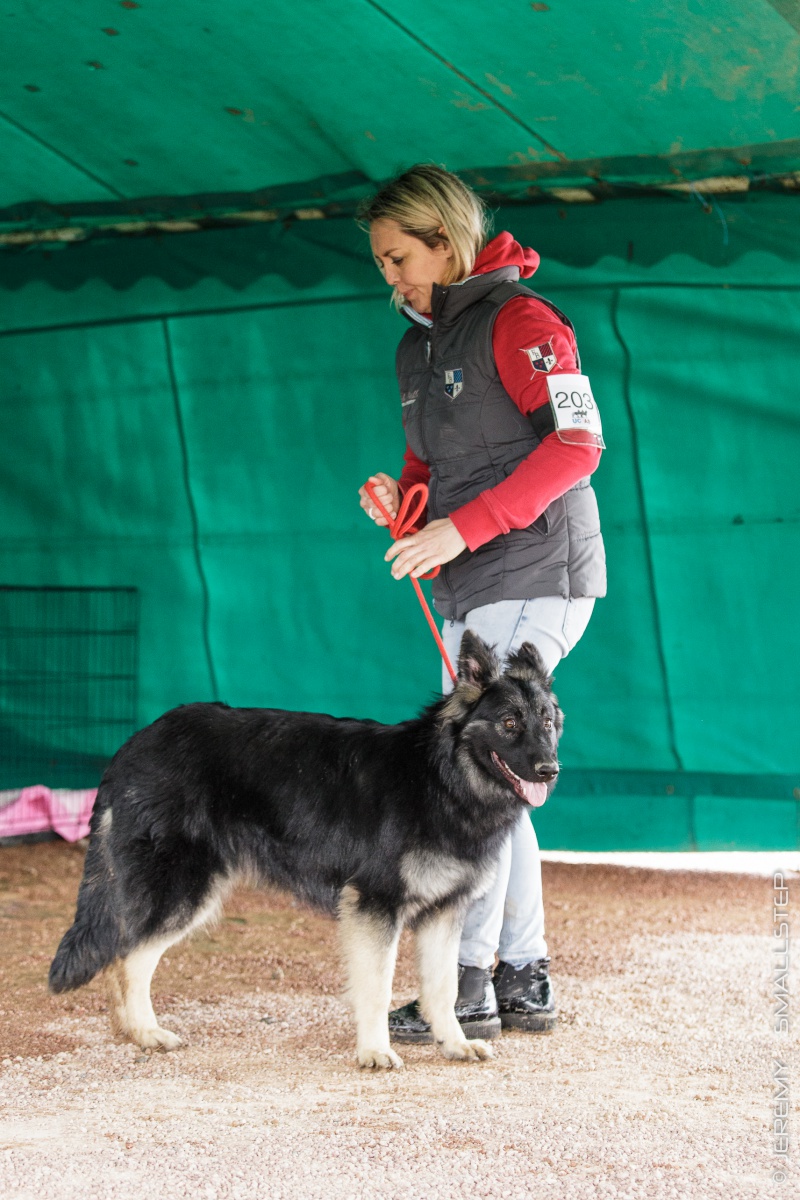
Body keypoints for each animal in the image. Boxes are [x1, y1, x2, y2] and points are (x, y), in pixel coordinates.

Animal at [49, 631, 562, 1069]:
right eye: (509, 723)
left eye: (548, 722)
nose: (550, 769)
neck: (443, 776)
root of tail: (135, 744)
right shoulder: (375, 906)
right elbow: (376, 986)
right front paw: (374, 1051)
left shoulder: (445, 911)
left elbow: (441, 987)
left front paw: (453, 1043)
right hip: (183, 892)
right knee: (127, 957)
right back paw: (146, 1032)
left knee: (123, 957)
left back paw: (131, 1032)